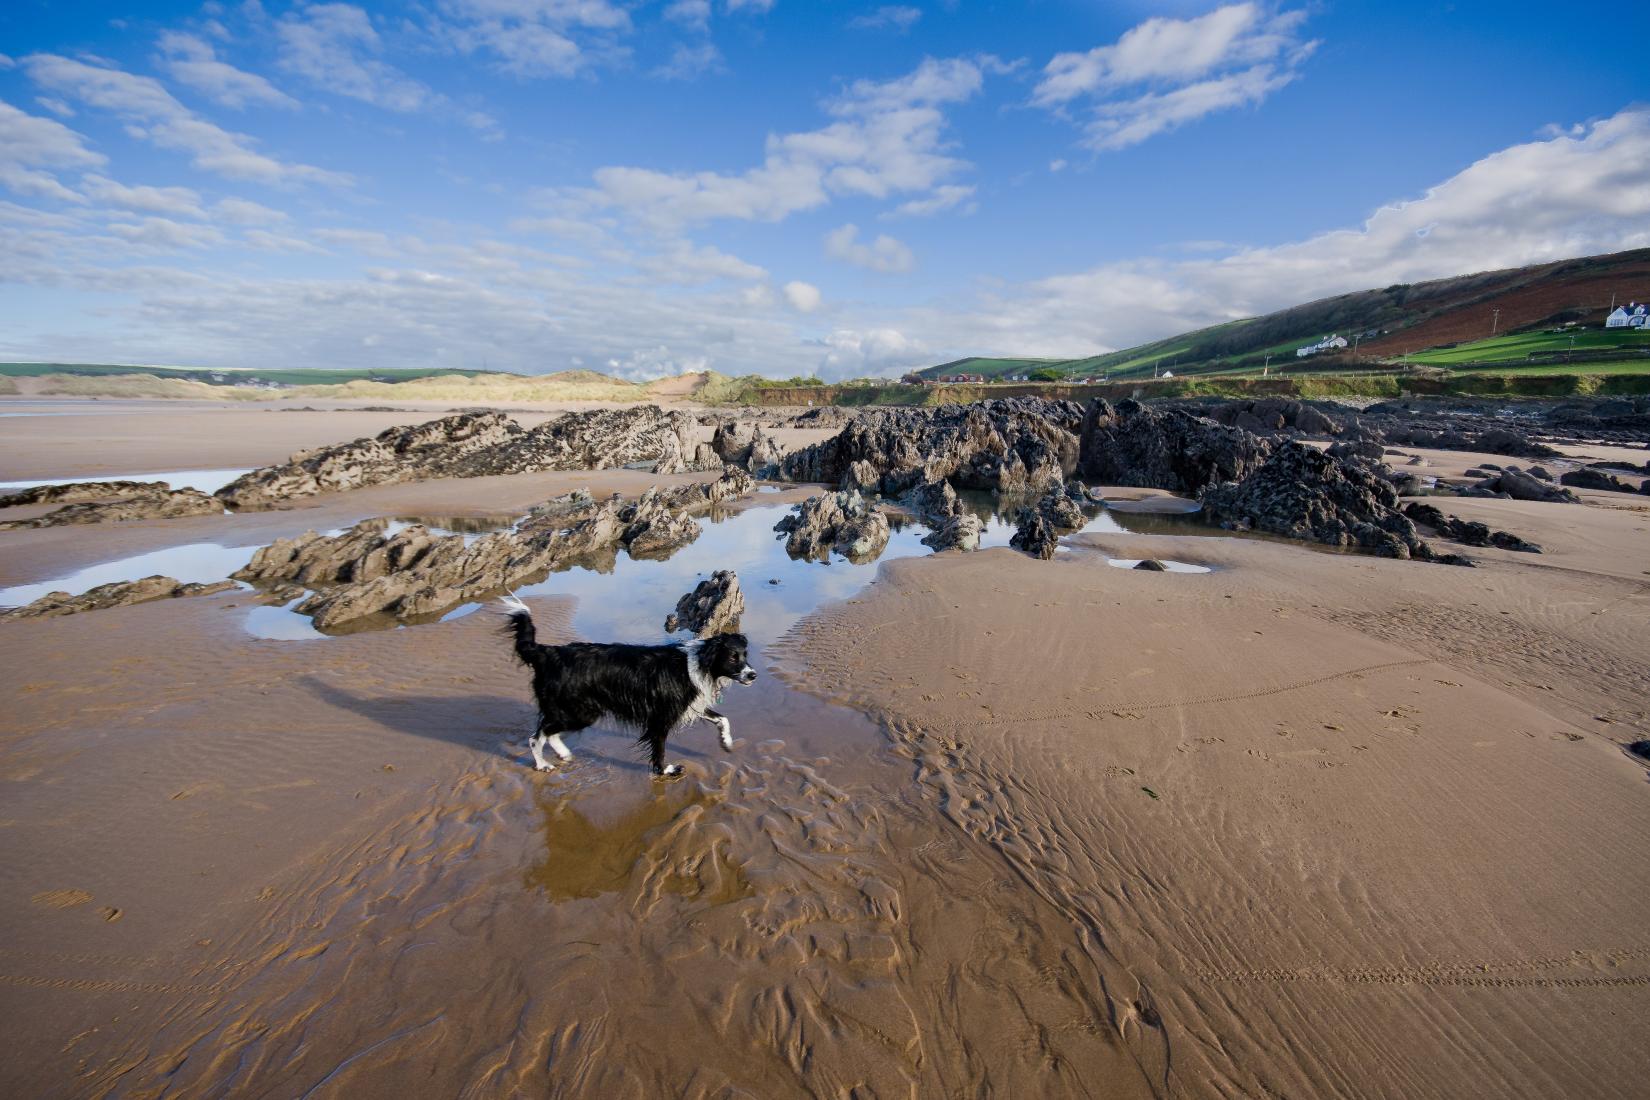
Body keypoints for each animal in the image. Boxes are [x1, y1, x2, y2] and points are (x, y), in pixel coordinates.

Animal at [501, 593, 759, 781]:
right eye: (732, 658)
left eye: (744, 655)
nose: (753, 675)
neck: (699, 663)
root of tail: (548, 652)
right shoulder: (660, 718)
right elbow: (659, 749)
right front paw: (665, 771)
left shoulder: (690, 705)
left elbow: (723, 719)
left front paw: (726, 742)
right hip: (579, 710)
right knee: (536, 736)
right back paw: (542, 764)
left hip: (575, 710)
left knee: (548, 731)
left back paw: (563, 753)